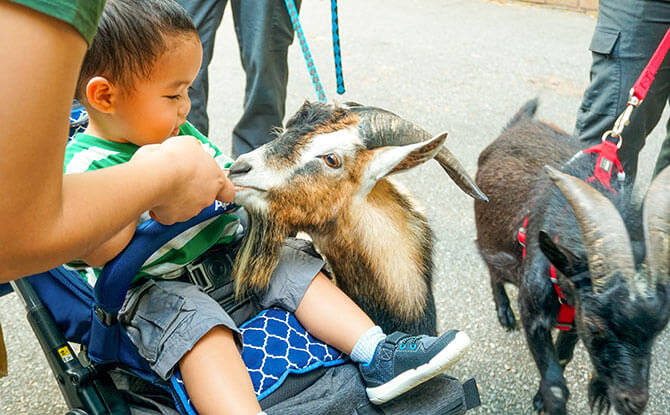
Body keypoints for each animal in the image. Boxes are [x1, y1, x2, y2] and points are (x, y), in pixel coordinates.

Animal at [476, 99, 670, 414]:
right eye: (594, 325)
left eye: (660, 328)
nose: (634, 402)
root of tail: (520, 124)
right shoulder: (534, 310)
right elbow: (556, 384)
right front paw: (547, 401)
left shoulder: (574, 309)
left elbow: (564, 353)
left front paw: (597, 393)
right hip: (494, 242)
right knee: (493, 269)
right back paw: (504, 312)